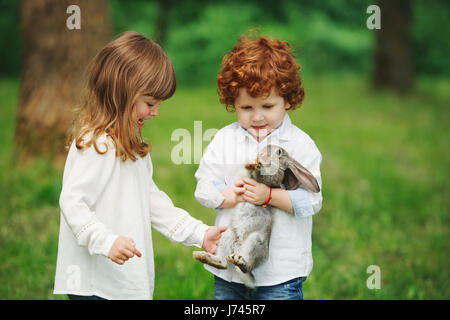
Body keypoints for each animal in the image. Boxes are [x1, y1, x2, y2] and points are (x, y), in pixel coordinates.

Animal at [193, 144, 320, 288]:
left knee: (245, 266)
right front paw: (251, 164)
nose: (262, 152)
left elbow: (264, 176)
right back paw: (201, 256)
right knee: (223, 263)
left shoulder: (272, 177)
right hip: (228, 235)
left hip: (254, 242)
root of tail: (237, 249)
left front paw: (256, 166)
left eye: (278, 151)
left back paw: (239, 262)